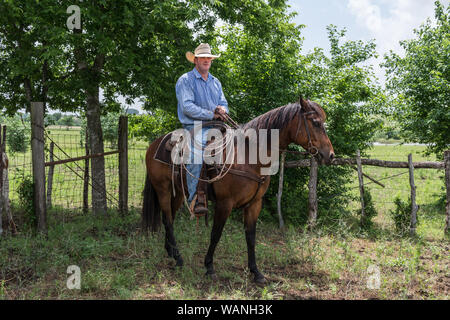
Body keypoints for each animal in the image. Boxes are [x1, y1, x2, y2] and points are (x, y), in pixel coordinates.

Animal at [142, 96, 336, 284]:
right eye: (316, 122)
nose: (331, 156)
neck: (249, 156)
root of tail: (155, 144)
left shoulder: (254, 203)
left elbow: (250, 236)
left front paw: (256, 272)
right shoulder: (224, 203)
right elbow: (216, 233)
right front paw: (209, 267)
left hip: (178, 193)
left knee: (170, 218)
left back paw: (171, 252)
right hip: (163, 189)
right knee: (167, 220)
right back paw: (179, 258)